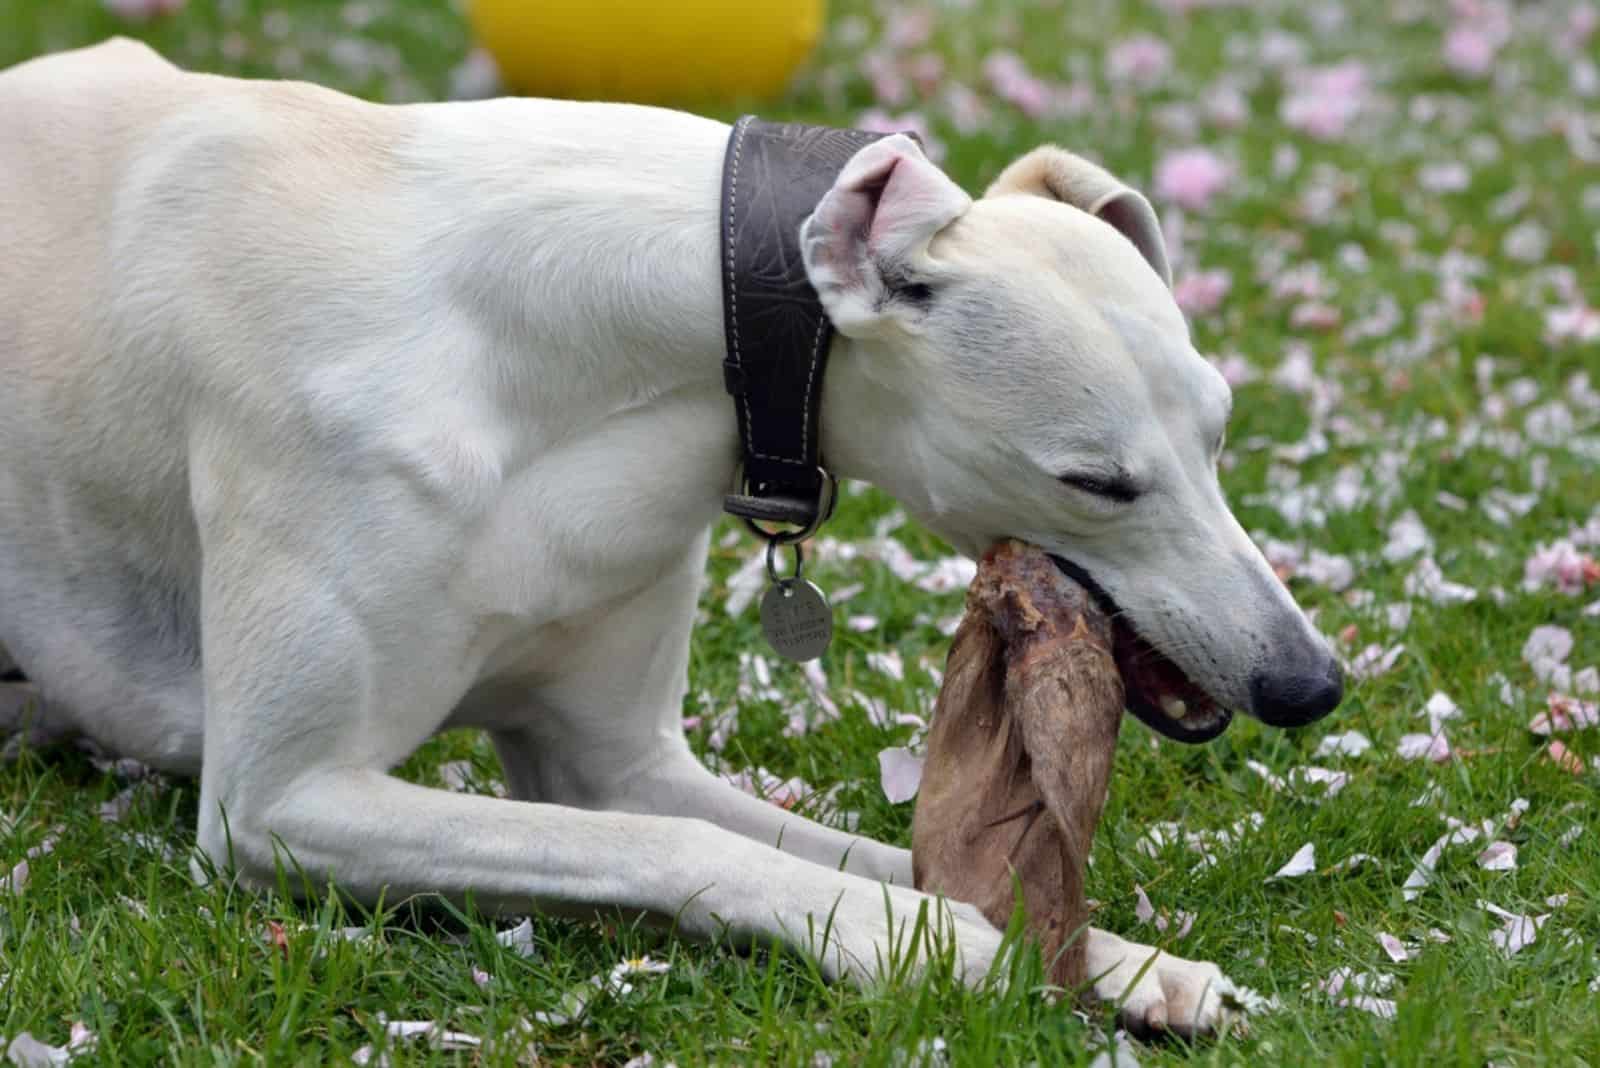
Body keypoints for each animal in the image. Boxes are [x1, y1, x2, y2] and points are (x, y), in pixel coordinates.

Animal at [0, 39, 1337, 1036]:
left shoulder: (610, 758)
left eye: (1220, 432)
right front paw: (909, 940)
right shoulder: (279, 802)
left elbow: (832, 842)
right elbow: (669, 844)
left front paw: (1117, 959)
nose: (1310, 682)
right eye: (1096, 482)